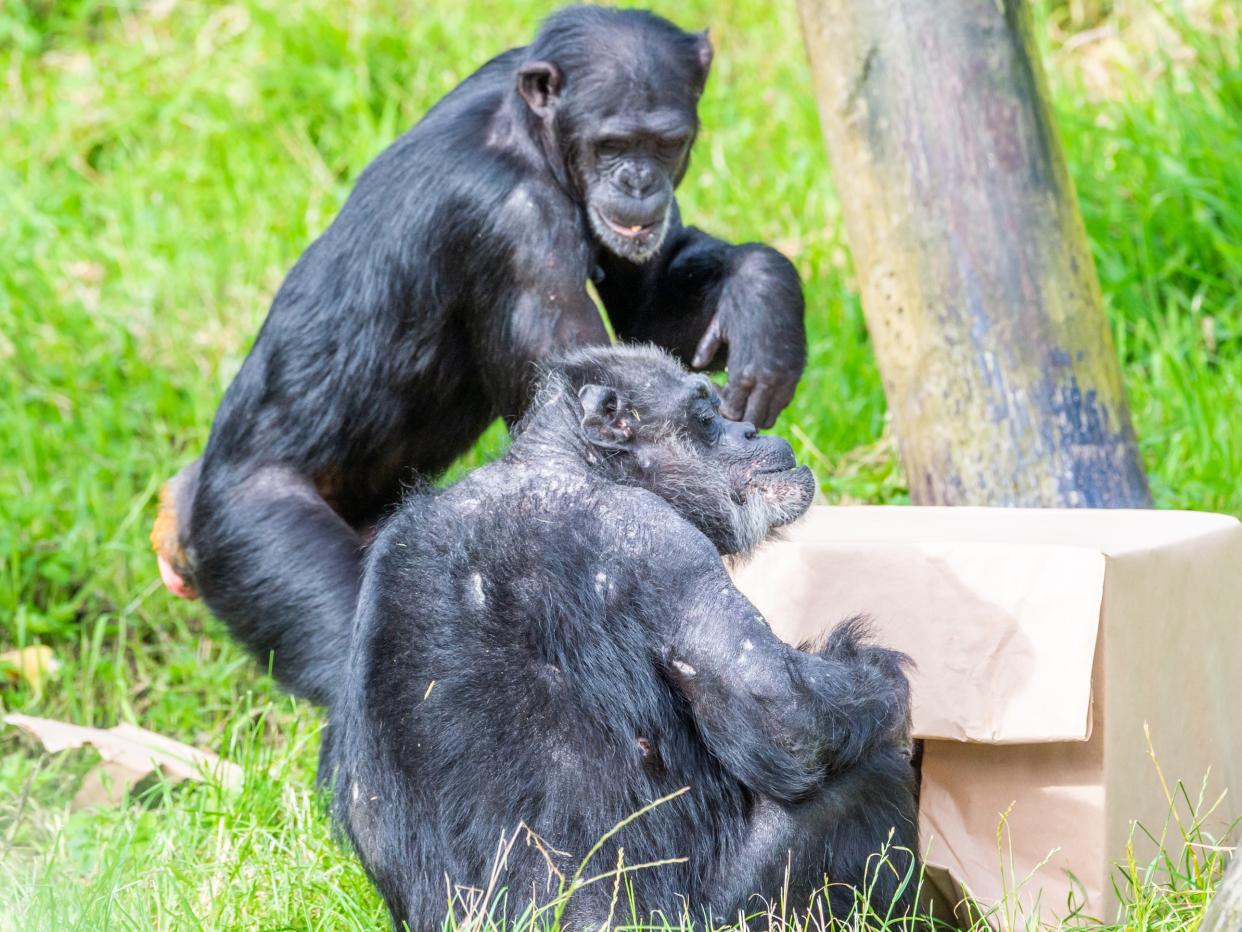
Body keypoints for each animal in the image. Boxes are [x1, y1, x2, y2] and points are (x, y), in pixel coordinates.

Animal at [150, 3, 804, 705]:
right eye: (610, 144)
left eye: (663, 143)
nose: (637, 180)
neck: (531, 136)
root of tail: (185, 519)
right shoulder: (515, 225)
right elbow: (585, 387)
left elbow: (646, 311)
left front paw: (765, 297)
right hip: (252, 533)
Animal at [322, 345, 924, 932]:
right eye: (705, 416)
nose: (749, 429)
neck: (571, 463)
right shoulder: (658, 539)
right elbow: (785, 711)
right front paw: (885, 681)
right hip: (727, 914)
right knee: (866, 775)